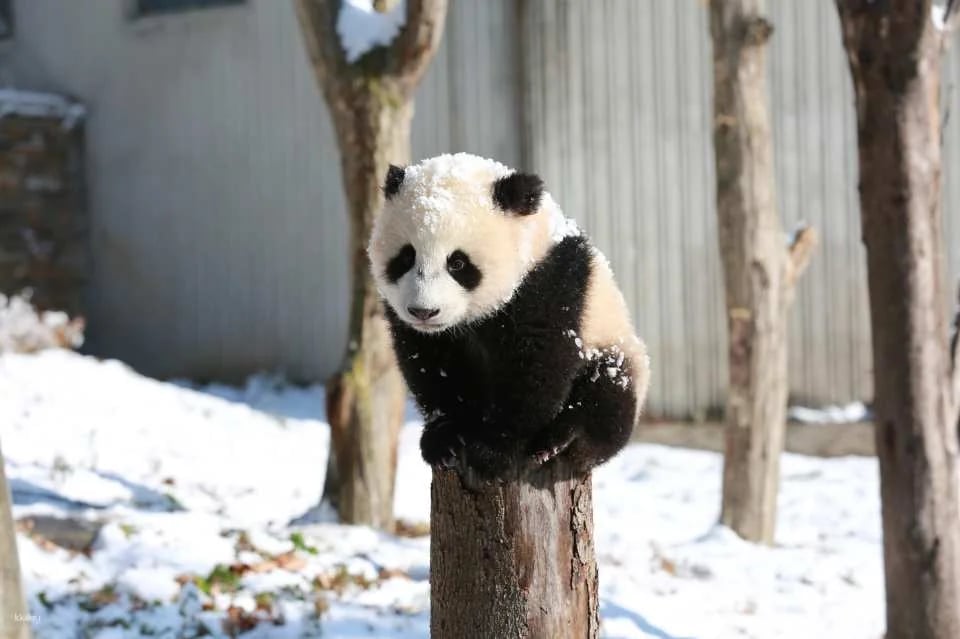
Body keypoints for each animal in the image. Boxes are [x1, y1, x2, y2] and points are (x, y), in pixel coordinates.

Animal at [369, 153, 650, 481]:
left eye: (458, 263)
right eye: (406, 257)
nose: (423, 311)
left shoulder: (548, 282)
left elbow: (538, 362)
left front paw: (493, 452)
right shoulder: (416, 324)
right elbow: (432, 363)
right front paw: (446, 437)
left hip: (616, 346)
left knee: (607, 393)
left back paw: (566, 440)